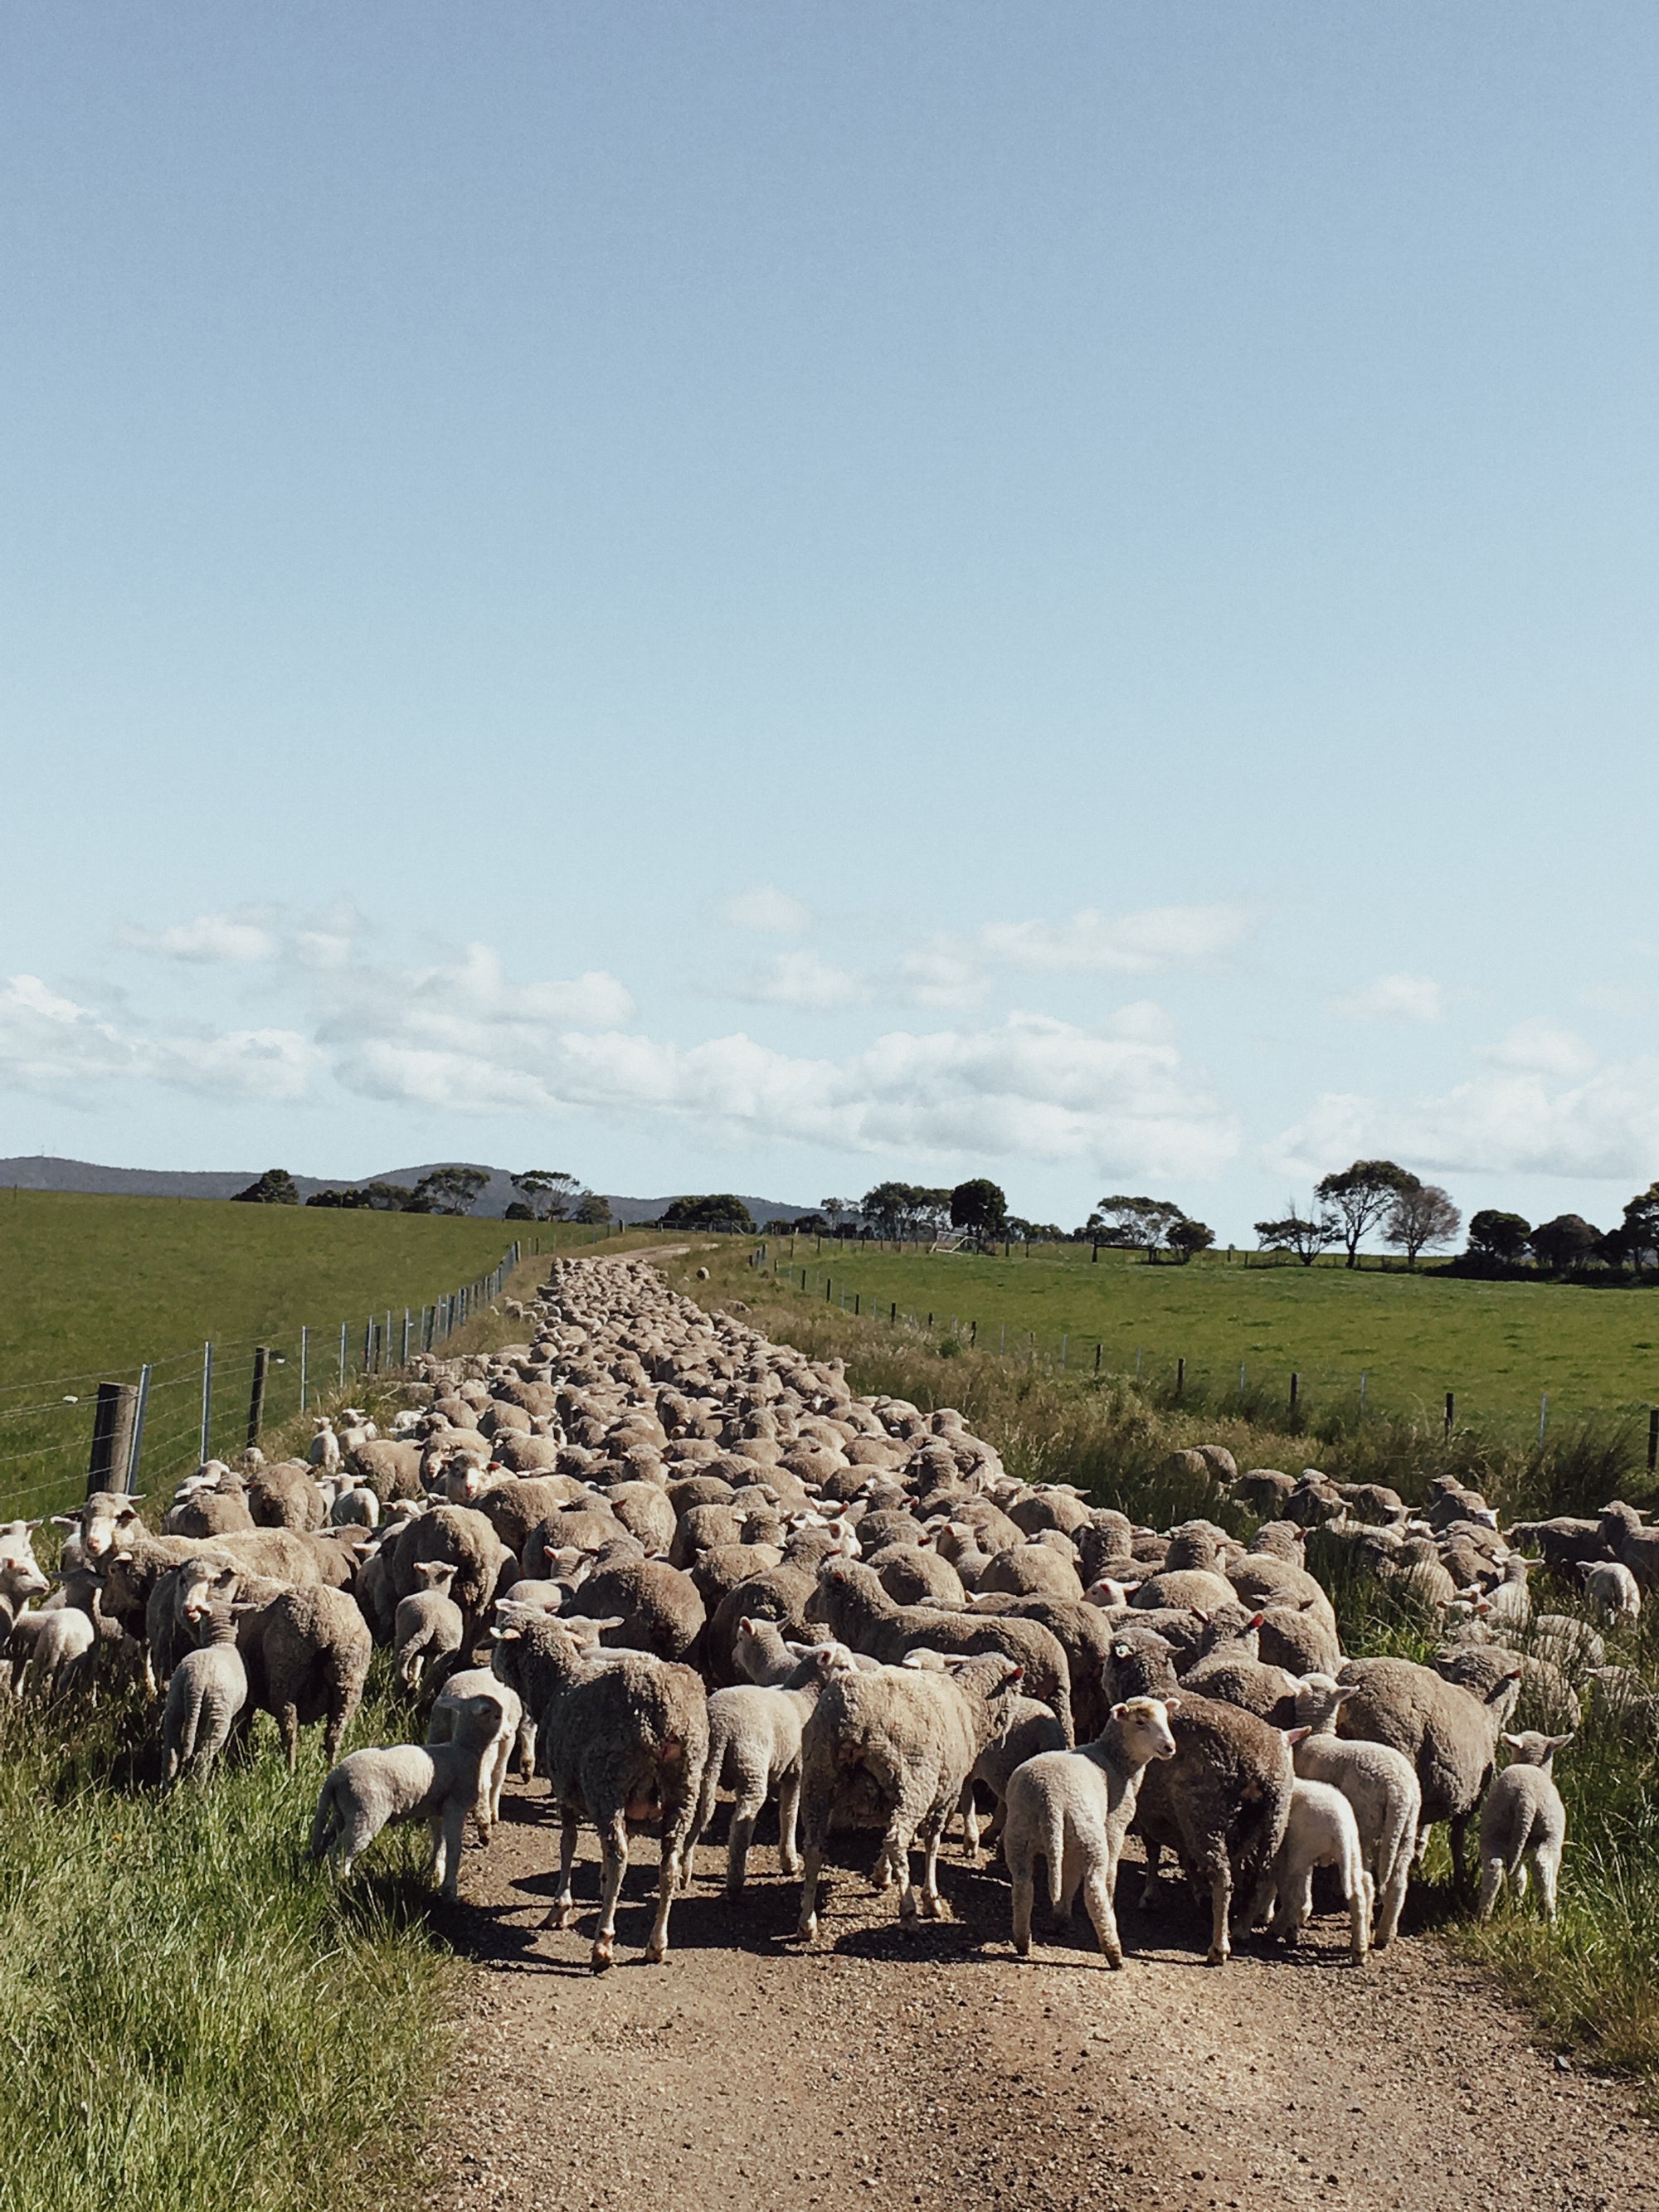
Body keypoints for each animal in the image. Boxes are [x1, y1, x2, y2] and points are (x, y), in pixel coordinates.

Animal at [163, 1610, 250, 1778]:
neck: (221, 1643)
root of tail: (195, 1681)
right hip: (218, 1712)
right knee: (203, 1757)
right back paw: (198, 1785)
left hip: (175, 1703)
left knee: (171, 1753)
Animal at [1000, 1689, 1185, 1972]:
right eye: (1140, 1722)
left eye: (1166, 1718)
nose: (1169, 1747)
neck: (1114, 1760)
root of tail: (1049, 1797)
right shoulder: (1114, 1827)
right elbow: (1108, 1874)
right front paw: (1107, 1900)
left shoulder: (1071, 1846)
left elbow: (1069, 1877)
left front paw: (1061, 1916)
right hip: (1089, 1835)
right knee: (1094, 1889)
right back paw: (1114, 1952)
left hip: (1023, 1833)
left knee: (1023, 1885)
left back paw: (1022, 1942)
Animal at [1256, 1769, 1380, 1964]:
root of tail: (1340, 1824)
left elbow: (1274, 1884)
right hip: (1352, 1849)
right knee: (1361, 1892)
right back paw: (1359, 1950)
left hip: (1302, 1852)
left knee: (1299, 1897)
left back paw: (1276, 1931)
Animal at [1292, 1672, 1424, 1937]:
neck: (1317, 1734)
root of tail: (1399, 1790)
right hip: (1408, 1824)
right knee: (1398, 1881)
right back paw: (1385, 1934)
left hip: (1365, 1819)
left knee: (1365, 1878)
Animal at [1477, 1725, 1574, 1919]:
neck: (1533, 1765)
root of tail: (1526, 1796)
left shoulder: (1517, 1845)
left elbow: (1519, 1876)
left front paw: (1517, 1901)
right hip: (1549, 1835)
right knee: (1543, 1869)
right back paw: (1551, 1917)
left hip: (1496, 1828)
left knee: (1494, 1867)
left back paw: (1483, 1915)